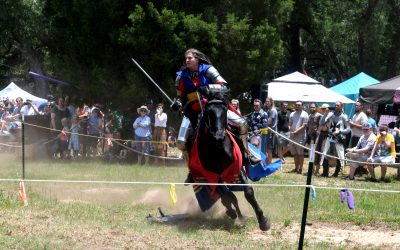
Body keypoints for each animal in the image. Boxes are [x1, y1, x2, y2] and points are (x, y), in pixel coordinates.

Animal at [188, 89, 270, 230]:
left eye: (225, 110)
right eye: (209, 111)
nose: (219, 136)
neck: (218, 149)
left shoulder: (237, 169)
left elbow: (248, 191)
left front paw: (262, 220)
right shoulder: (214, 175)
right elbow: (227, 196)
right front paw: (233, 213)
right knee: (226, 195)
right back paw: (234, 213)